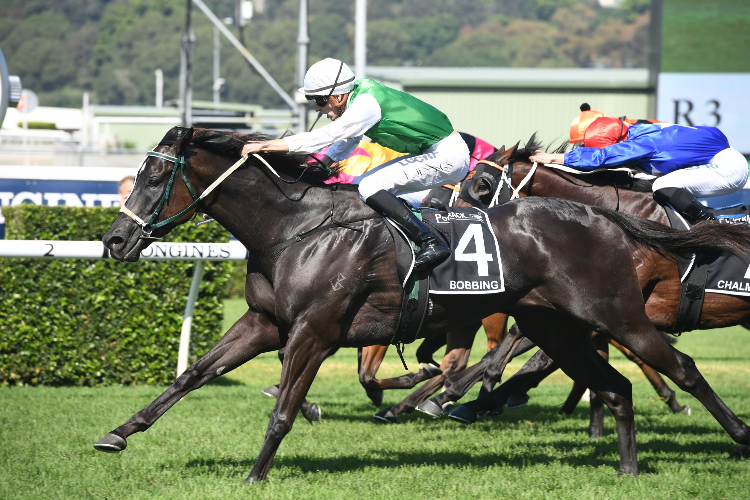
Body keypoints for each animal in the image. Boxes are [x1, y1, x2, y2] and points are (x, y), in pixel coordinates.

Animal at [94, 128, 750, 480]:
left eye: (153, 177)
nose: (115, 241)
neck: (296, 229)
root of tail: (605, 218)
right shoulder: (265, 322)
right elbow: (192, 375)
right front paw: (119, 433)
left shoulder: (314, 330)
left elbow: (284, 407)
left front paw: (257, 473)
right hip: (557, 325)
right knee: (614, 387)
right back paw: (627, 468)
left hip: (617, 315)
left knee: (679, 368)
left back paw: (738, 436)